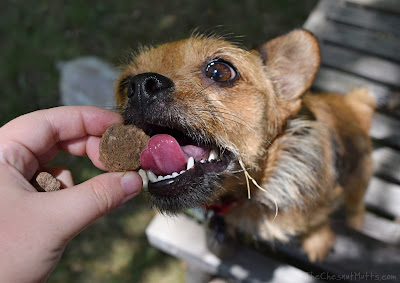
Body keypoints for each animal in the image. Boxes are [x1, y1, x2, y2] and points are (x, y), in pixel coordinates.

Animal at [113, 30, 376, 262]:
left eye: (220, 71)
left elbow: (317, 221)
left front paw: (317, 241)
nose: (139, 86)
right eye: (124, 84)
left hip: (359, 175)